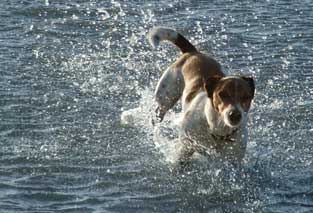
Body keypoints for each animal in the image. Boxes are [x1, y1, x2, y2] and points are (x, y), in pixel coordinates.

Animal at [148, 27, 254, 165]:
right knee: (158, 113)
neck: (217, 130)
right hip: (166, 96)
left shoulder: (233, 160)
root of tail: (193, 52)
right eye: (222, 94)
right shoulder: (186, 143)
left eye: (246, 97)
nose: (234, 115)